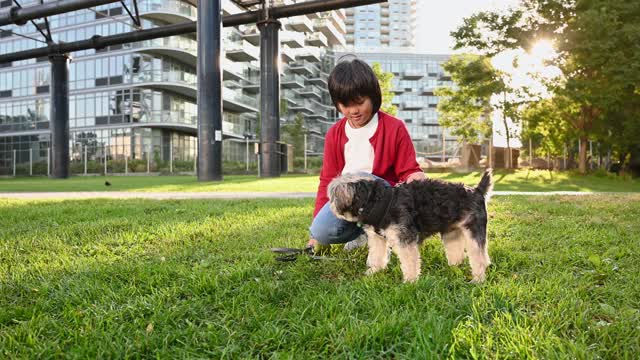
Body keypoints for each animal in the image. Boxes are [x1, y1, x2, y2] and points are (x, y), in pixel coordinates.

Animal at [328, 170, 492, 282]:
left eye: (332, 196)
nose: (331, 207)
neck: (378, 202)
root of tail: (477, 191)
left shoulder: (405, 239)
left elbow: (409, 261)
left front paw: (410, 281)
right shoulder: (377, 238)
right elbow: (376, 256)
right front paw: (374, 272)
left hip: (473, 231)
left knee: (480, 257)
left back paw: (478, 279)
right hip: (452, 233)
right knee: (462, 254)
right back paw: (454, 268)